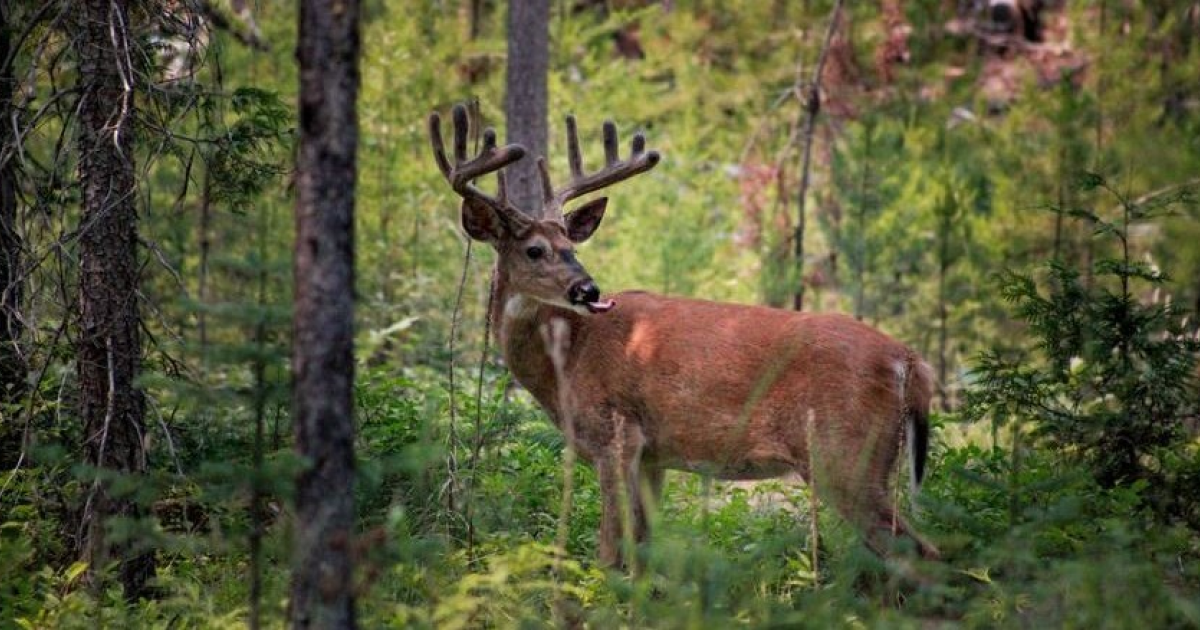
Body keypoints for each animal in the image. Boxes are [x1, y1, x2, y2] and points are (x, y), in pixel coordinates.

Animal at [427, 103, 940, 564]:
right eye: (534, 250)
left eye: (571, 246)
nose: (588, 289)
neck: (566, 361)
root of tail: (910, 361)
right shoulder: (654, 455)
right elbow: (643, 553)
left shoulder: (615, 434)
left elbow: (608, 552)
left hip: (845, 455)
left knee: (923, 554)